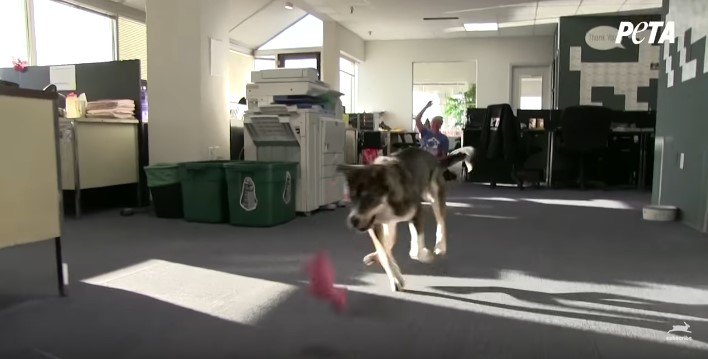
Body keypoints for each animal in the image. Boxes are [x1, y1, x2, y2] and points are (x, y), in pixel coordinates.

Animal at [338, 146, 476, 292]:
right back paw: (375, 256)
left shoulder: (417, 213)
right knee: (388, 245)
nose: (353, 221)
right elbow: (384, 254)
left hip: (434, 196)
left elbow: (415, 250)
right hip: (390, 226)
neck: (387, 201)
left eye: (369, 198)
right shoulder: (374, 226)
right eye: (352, 198)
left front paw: (426, 256)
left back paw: (440, 246)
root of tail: (434, 158)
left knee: (441, 221)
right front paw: (395, 279)